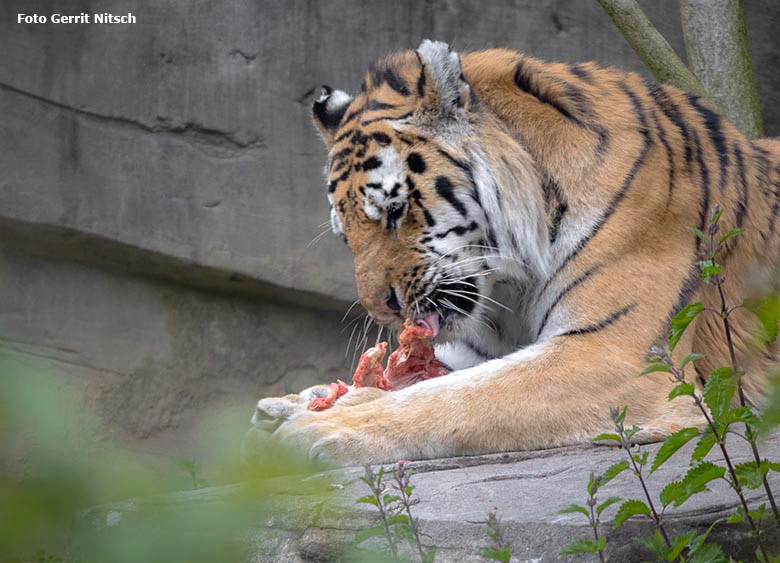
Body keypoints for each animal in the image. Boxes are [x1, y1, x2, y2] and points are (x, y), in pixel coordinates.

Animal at [247, 39, 780, 468]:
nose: (381, 309)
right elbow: (431, 380)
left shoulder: (616, 354)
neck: (511, 283)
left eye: (395, 211)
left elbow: (456, 399)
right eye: (346, 235)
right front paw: (301, 401)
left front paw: (325, 424)